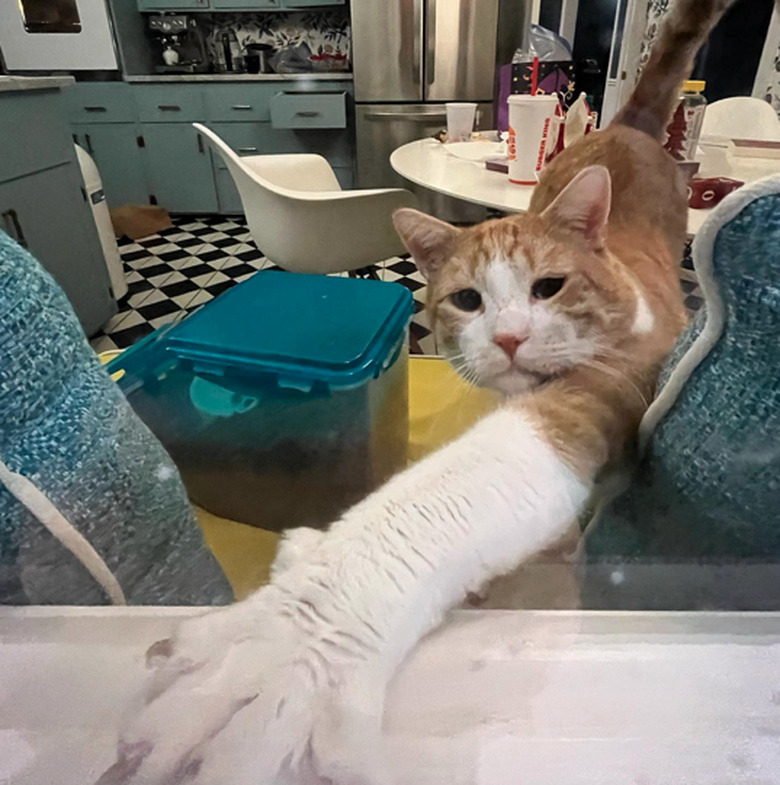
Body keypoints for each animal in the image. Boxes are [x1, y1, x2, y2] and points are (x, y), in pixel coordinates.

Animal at [100, 1, 736, 784]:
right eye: (466, 300)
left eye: (549, 287)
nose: (509, 339)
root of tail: (628, 128)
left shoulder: (612, 379)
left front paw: (316, 629)